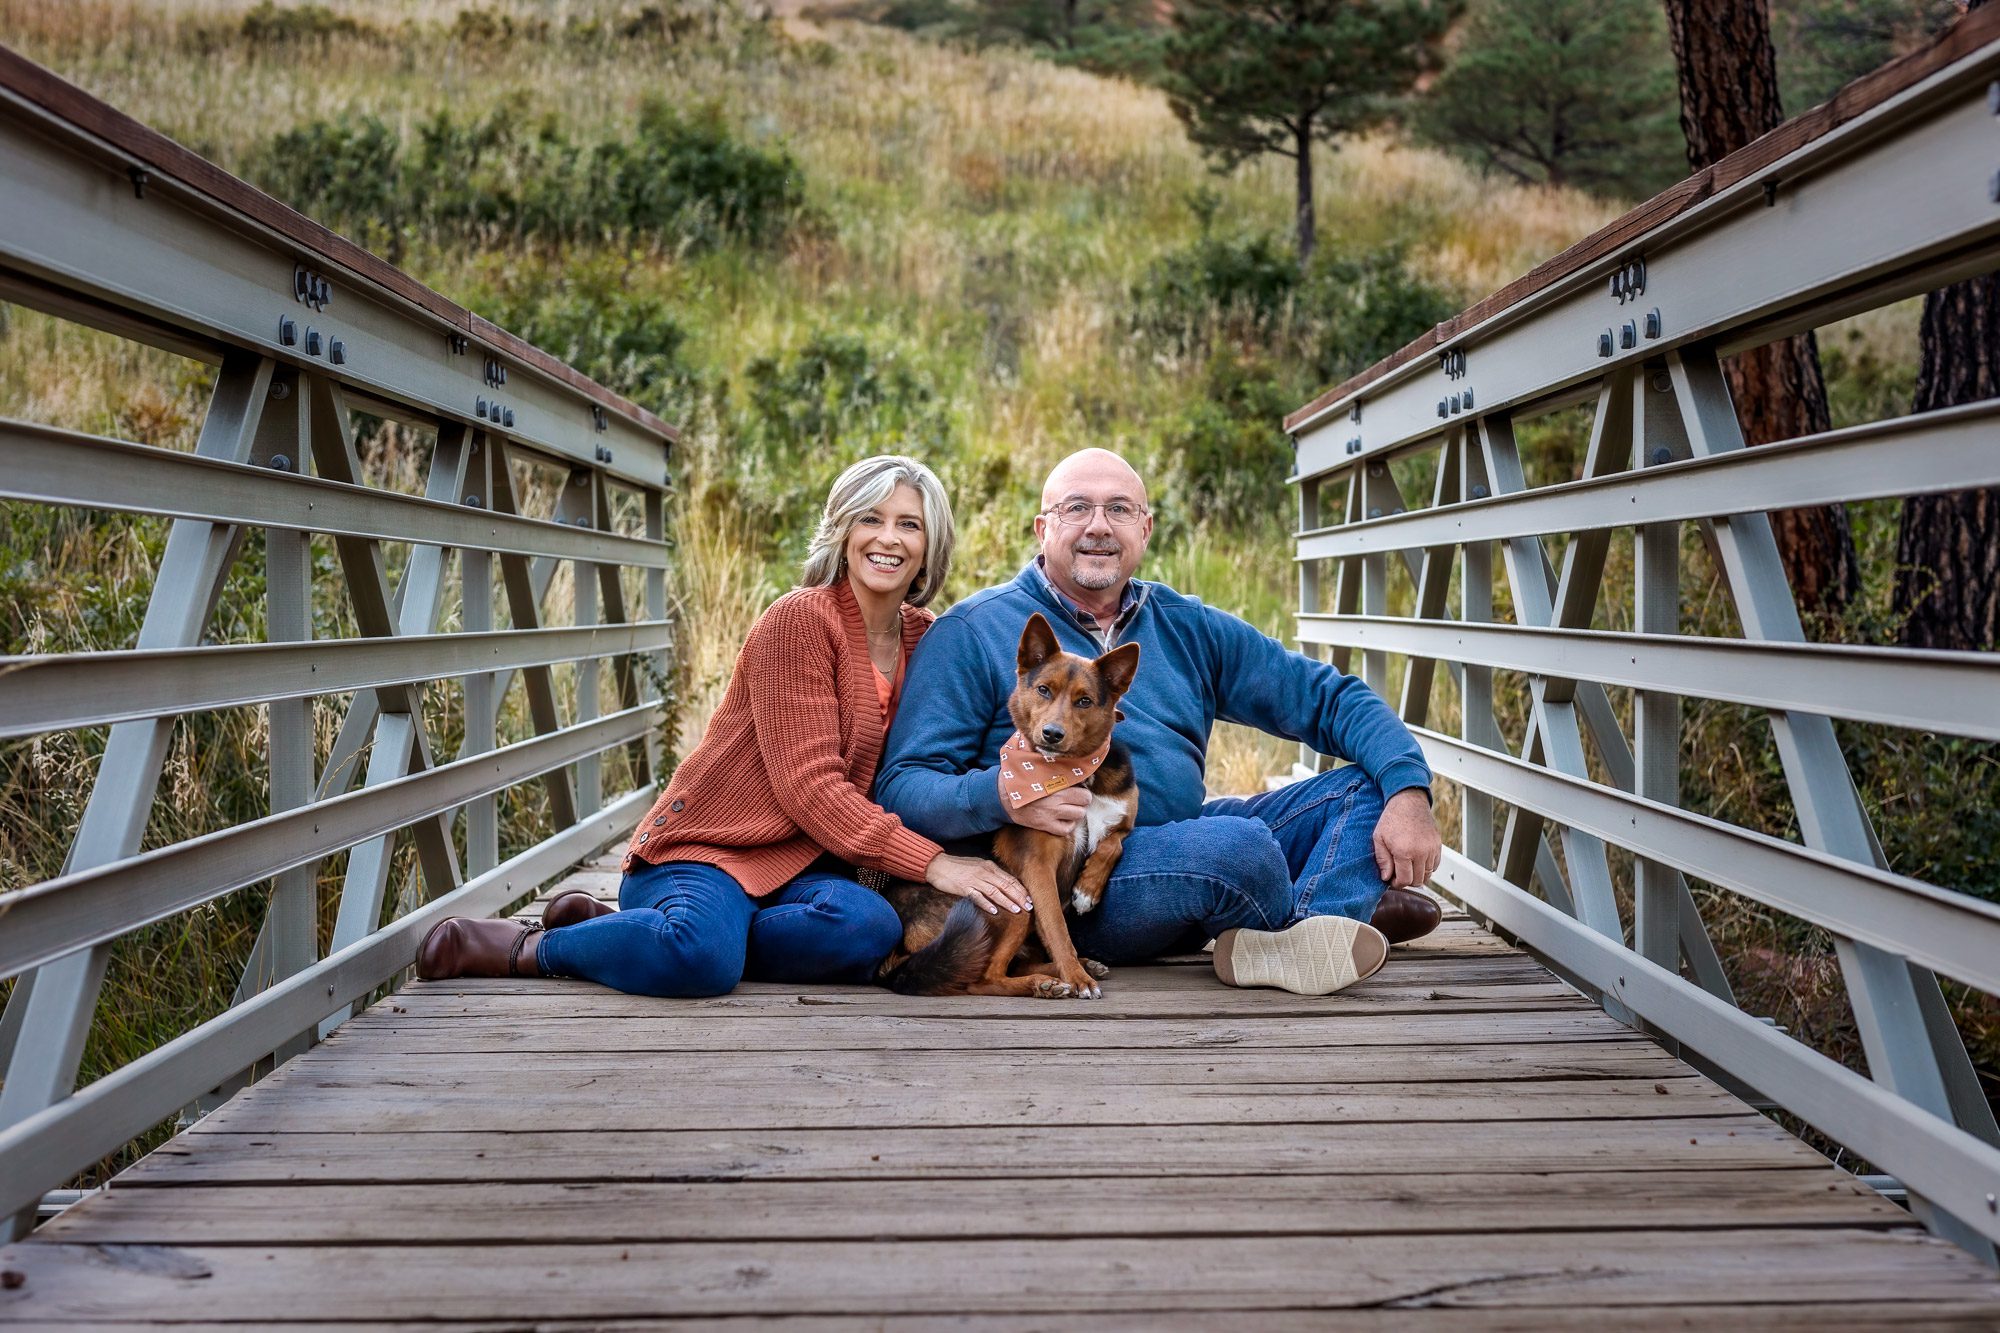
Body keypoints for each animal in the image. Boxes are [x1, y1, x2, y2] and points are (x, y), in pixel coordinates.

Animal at [880, 612, 1144, 996]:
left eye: (1084, 701)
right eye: (1044, 690)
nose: (1052, 734)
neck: (1076, 773)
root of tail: (899, 947)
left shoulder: (1122, 820)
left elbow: (1113, 843)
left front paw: (1087, 890)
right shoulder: (1037, 867)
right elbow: (1058, 929)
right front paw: (1077, 978)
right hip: (1012, 906)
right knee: (982, 979)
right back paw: (1047, 983)